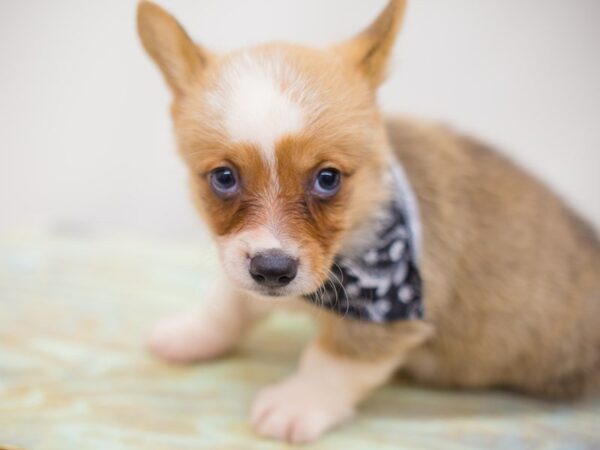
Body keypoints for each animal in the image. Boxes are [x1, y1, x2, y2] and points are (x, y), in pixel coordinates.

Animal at [136, 0, 600, 442]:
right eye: (224, 177)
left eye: (328, 179)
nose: (273, 271)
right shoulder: (241, 264)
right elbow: (225, 304)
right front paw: (190, 335)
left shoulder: (384, 321)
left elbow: (332, 361)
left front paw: (296, 405)